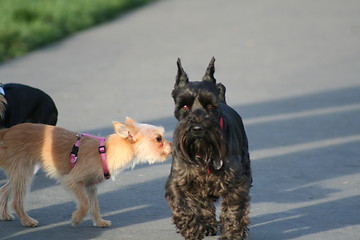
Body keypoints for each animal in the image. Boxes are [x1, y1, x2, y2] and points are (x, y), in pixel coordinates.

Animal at [0, 119, 172, 228]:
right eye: (158, 139)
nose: (172, 145)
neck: (104, 152)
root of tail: (6, 132)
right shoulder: (72, 181)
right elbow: (85, 203)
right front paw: (76, 219)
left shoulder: (90, 186)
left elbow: (94, 205)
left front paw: (99, 222)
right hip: (23, 172)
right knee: (17, 200)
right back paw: (26, 220)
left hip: (22, 173)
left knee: (4, 190)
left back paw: (4, 214)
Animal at [165, 58, 252, 240]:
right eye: (184, 106)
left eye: (211, 106)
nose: (198, 128)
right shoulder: (179, 180)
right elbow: (182, 205)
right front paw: (191, 228)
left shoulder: (235, 183)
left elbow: (233, 209)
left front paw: (231, 235)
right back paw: (206, 224)